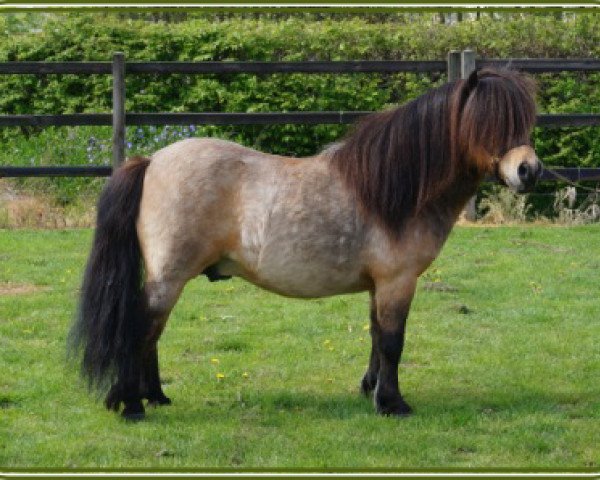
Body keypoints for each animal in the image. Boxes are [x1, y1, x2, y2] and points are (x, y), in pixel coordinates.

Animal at [71, 68, 544, 420]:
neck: (394, 189)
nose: (529, 171)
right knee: (141, 328)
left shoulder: (379, 285)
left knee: (152, 332)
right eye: (489, 122)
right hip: (169, 276)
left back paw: (155, 396)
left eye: (524, 120)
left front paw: (370, 389)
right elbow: (393, 341)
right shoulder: (397, 281)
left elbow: (376, 337)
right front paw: (393, 404)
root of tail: (152, 160)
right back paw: (132, 405)